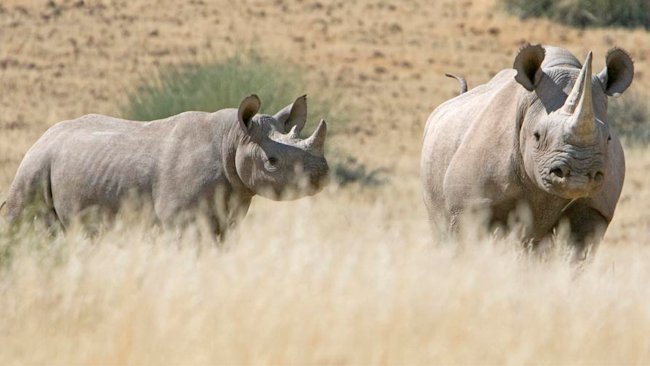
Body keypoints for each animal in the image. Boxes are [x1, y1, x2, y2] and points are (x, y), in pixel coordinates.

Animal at [1, 95, 330, 237]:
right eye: (272, 162)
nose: (322, 174)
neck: (234, 138)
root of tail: (42, 138)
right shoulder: (181, 221)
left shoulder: (229, 216)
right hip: (34, 165)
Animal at [420, 43, 632, 260]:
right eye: (537, 136)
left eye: (608, 139)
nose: (578, 176)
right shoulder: (469, 204)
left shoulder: (596, 208)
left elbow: (576, 252)